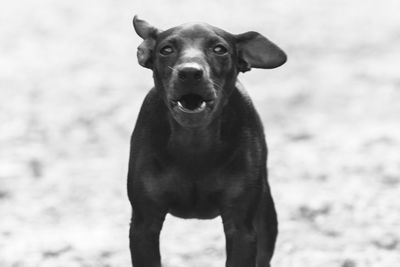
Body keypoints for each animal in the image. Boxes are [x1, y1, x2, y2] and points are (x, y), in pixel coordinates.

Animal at [126, 15, 286, 266]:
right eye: (166, 49)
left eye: (219, 49)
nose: (190, 72)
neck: (194, 143)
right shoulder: (144, 224)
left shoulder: (241, 227)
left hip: (266, 216)